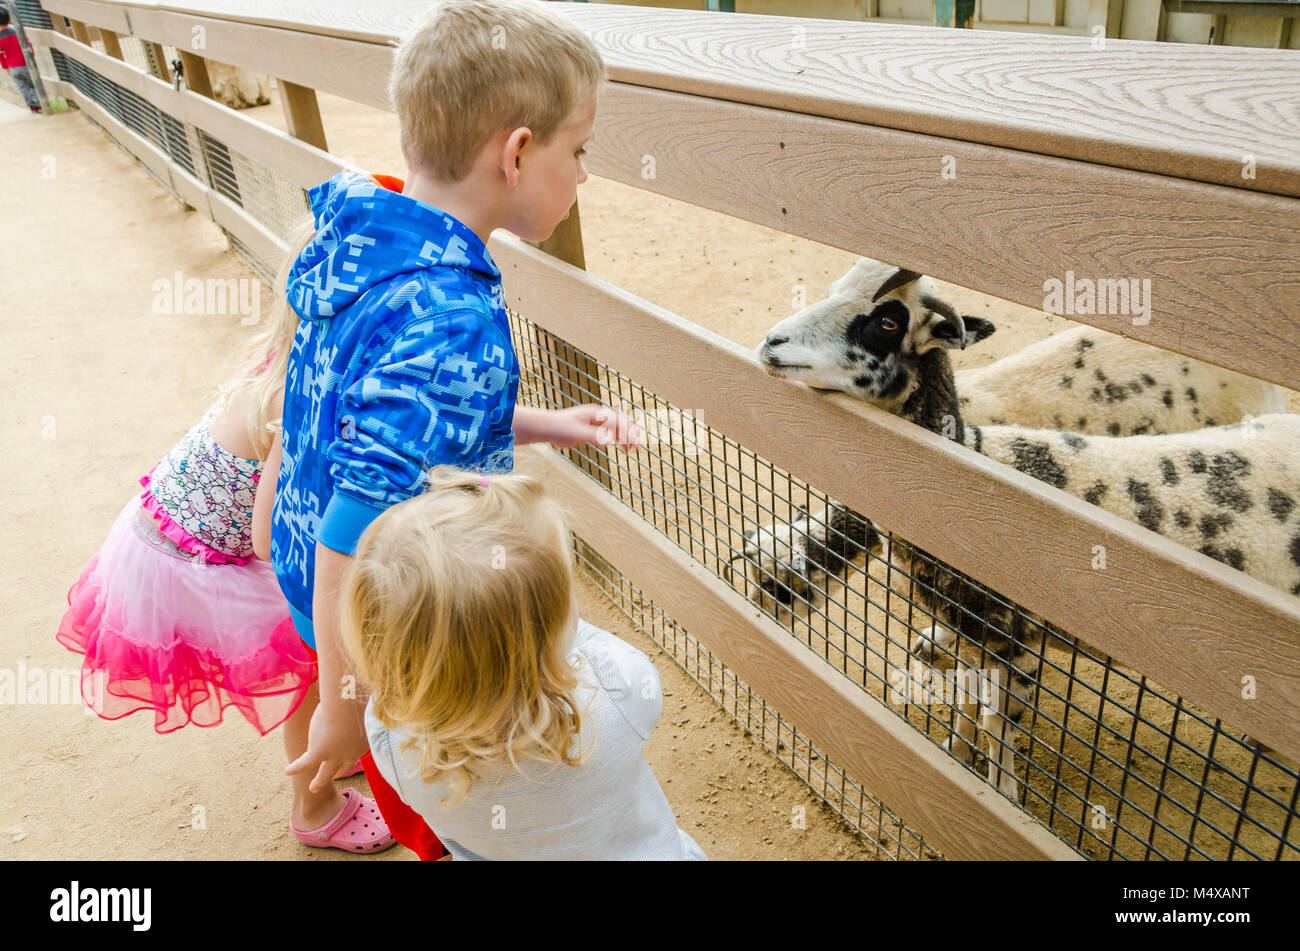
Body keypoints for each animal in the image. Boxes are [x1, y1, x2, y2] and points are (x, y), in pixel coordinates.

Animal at [743, 255, 1300, 800]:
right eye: (833, 289)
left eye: (887, 321)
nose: (771, 342)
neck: (976, 455)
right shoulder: (971, 634)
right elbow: (966, 701)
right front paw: (955, 751)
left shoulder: (1018, 644)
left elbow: (997, 723)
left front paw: (1002, 793)